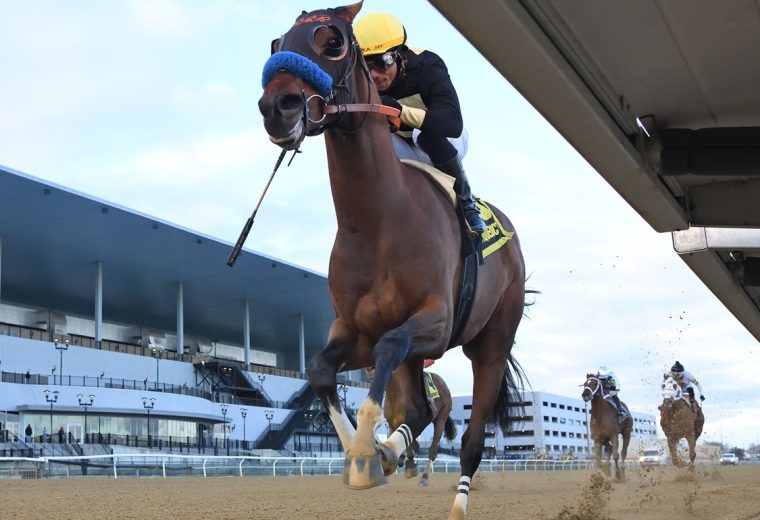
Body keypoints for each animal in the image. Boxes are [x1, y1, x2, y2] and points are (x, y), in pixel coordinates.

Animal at [258, 3, 524, 516]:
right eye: (278, 43)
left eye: (333, 42)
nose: (277, 106)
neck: (379, 219)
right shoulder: (355, 328)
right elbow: (319, 369)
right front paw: (362, 453)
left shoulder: (436, 319)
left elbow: (388, 351)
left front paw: (366, 453)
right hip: (418, 355)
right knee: (418, 408)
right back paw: (392, 451)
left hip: (491, 342)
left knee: (472, 440)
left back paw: (454, 500)